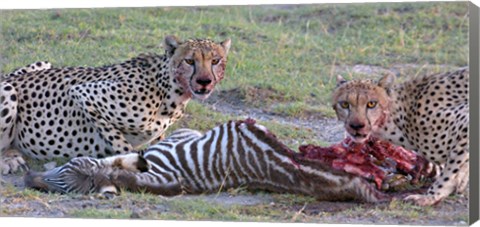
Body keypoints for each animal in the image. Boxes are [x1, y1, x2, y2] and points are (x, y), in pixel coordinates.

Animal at [0, 35, 232, 174]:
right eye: (190, 61)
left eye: (215, 61)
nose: (204, 81)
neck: (170, 90)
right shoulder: (83, 93)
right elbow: (120, 142)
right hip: (9, 89)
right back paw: (8, 160)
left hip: (44, 63)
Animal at [334, 68, 468, 206]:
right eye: (344, 104)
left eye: (371, 104)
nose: (356, 126)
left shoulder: (465, 121)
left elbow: (449, 172)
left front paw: (431, 196)